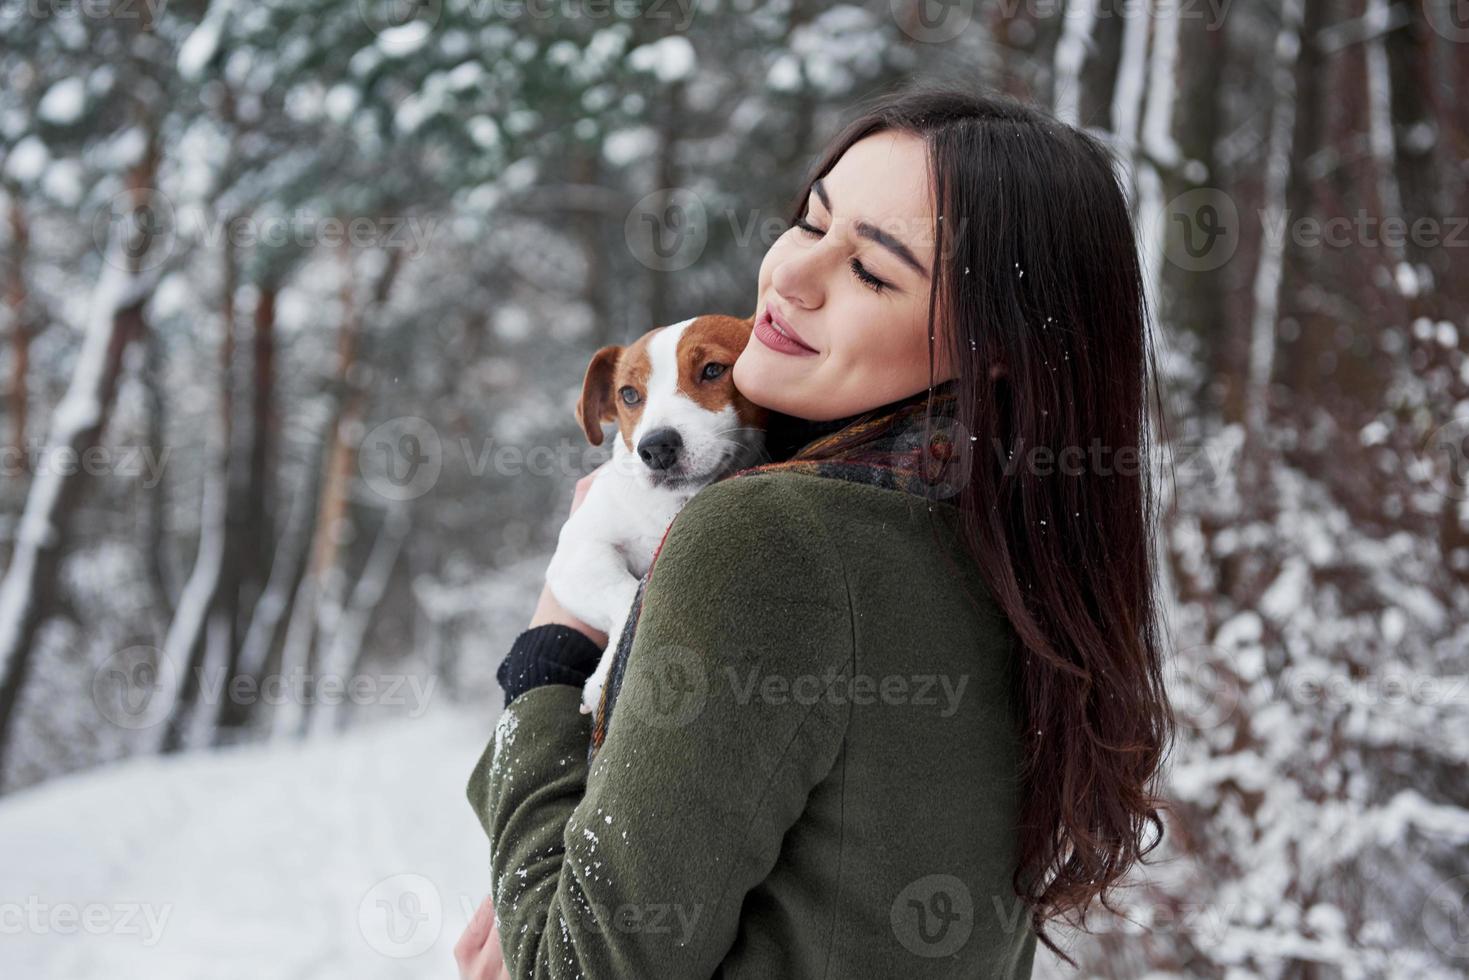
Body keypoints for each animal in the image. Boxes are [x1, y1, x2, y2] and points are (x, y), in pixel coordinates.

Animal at [543, 314, 769, 714]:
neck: (670, 506)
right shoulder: (577, 552)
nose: (657, 446)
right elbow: (624, 594)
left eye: (713, 370)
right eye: (629, 394)